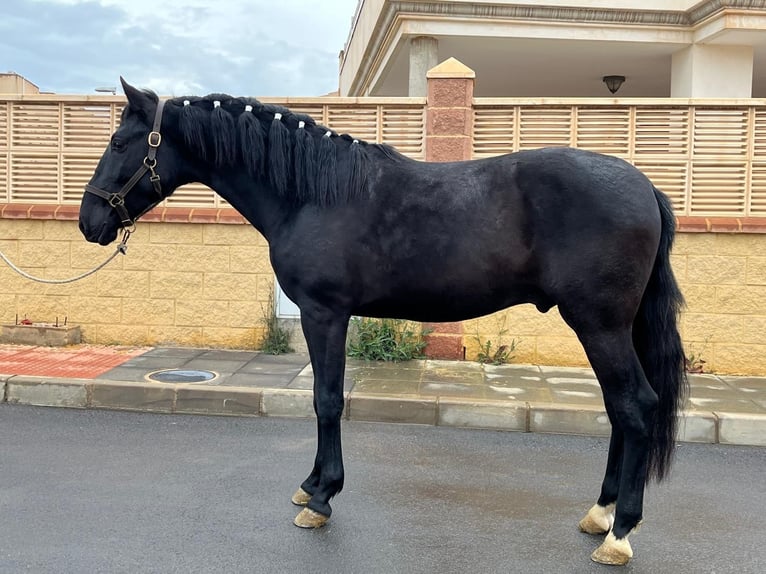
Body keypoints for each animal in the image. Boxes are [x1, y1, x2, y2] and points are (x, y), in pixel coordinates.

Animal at [79, 79, 688, 568]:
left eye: (118, 143)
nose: (90, 221)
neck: (309, 193)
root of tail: (646, 189)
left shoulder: (324, 313)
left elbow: (327, 400)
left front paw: (321, 499)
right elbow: (324, 400)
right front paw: (311, 486)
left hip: (599, 324)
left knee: (635, 406)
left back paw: (618, 534)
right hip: (610, 327)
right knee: (618, 409)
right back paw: (600, 513)